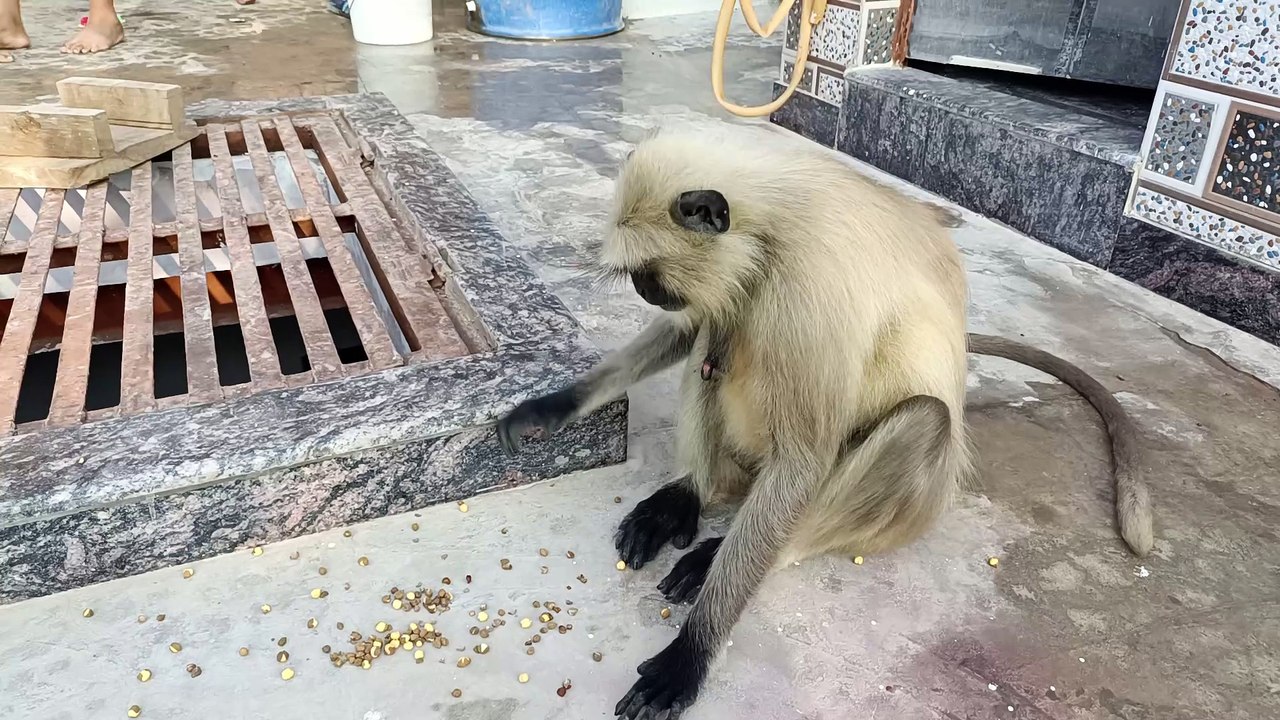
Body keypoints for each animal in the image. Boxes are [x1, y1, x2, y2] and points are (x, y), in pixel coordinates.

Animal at [495, 125, 1154, 719]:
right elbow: (692, 324)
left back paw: (719, 553)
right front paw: (551, 407)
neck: (771, 223)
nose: (643, 290)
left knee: (924, 420)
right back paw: (688, 496)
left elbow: (804, 459)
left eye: (650, 273)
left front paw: (691, 654)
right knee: (719, 333)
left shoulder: (809, 285)